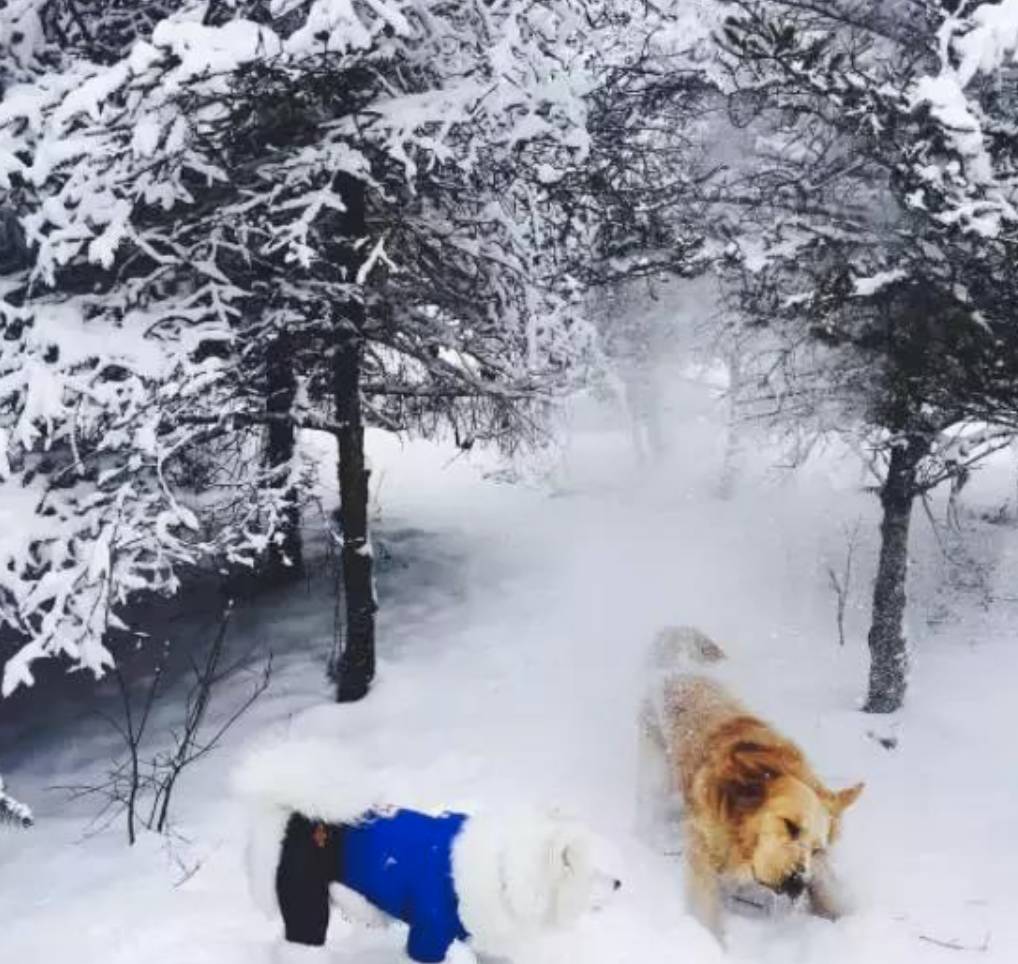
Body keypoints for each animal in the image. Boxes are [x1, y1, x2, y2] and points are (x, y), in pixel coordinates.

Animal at [236, 741, 618, 960]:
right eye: (592, 873)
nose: (620, 884)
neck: (504, 870)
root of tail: (298, 815)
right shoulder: (429, 935)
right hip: (307, 913)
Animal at [635, 627, 867, 940]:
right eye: (789, 825)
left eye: (816, 849)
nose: (796, 886)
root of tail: (679, 666)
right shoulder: (702, 848)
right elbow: (705, 912)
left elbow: (829, 888)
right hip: (657, 778)